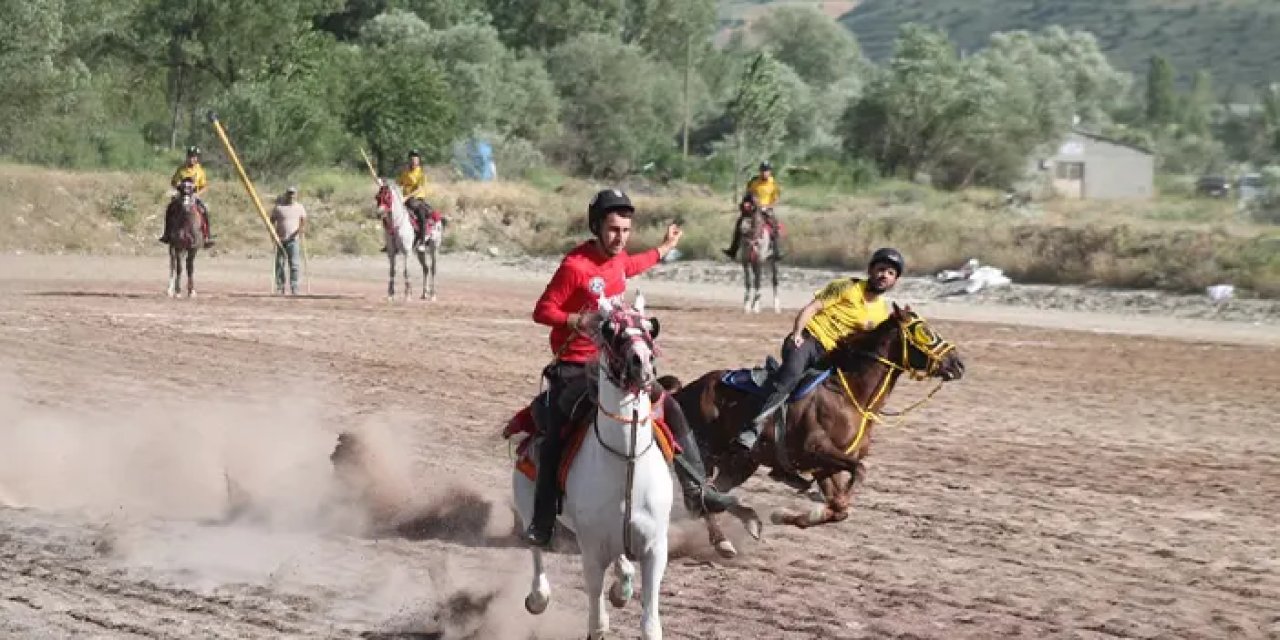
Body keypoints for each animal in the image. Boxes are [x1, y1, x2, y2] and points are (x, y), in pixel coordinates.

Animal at [514, 293, 675, 640]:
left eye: (650, 327)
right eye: (609, 329)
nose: (641, 362)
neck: (626, 461)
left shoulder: (655, 548)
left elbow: (650, 624)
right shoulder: (591, 549)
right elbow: (597, 621)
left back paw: (622, 586)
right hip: (526, 506)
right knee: (536, 549)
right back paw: (538, 597)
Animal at [665, 303, 962, 550]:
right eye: (924, 330)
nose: (958, 364)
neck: (848, 395)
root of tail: (683, 393)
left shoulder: (824, 466)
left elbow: (840, 508)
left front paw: (786, 515)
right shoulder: (815, 450)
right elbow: (857, 474)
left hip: (740, 463)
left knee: (712, 494)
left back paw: (747, 523)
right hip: (702, 455)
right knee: (700, 496)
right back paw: (722, 542)